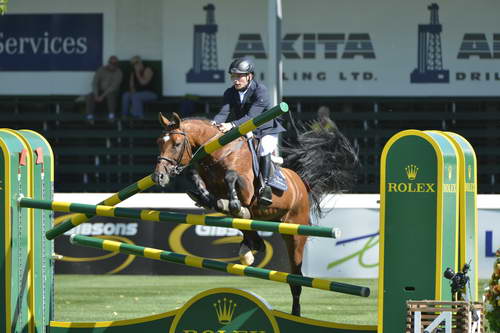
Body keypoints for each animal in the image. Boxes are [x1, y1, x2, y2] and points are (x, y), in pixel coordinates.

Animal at [153, 111, 360, 314]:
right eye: (159, 142)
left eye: (176, 144)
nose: (159, 176)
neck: (219, 153)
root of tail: (302, 182)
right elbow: (196, 178)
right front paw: (205, 197)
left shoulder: (246, 188)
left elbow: (231, 177)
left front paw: (230, 200)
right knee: (250, 230)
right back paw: (248, 246)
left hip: (294, 234)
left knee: (296, 280)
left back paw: (295, 313)